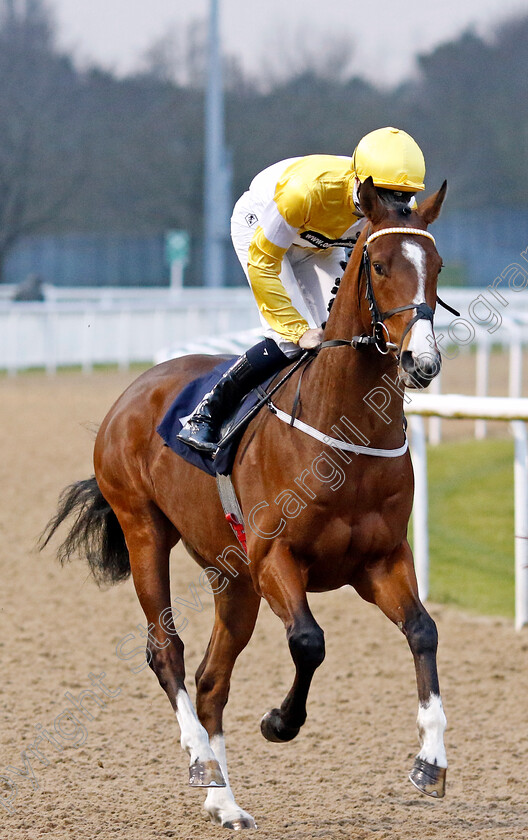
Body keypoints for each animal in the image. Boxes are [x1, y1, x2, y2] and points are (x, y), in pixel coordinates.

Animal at [42, 177, 450, 828]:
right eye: (381, 264)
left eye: (435, 266)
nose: (422, 361)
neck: (342, 432)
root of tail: (134, 390)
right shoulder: (274, 558)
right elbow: (309, 642)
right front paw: (280, 721)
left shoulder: (380, 560)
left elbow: (423, 630)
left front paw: (430, 761)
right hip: (144, 530)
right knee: (167, 653)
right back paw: (201, 763)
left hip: (230, 578)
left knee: (212, 679)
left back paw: (225, 801)